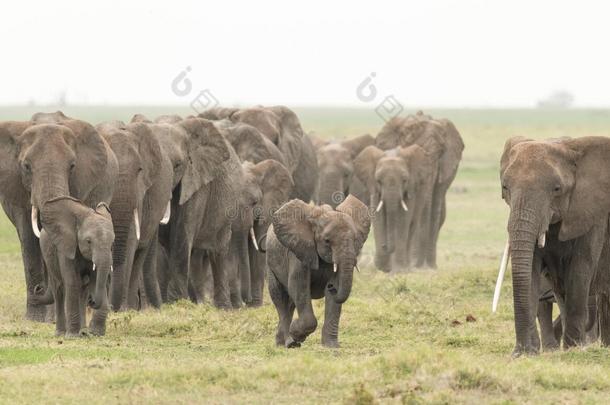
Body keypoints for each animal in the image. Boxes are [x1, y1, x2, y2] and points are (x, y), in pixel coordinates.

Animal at [95, 120, 172, 310]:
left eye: (139, 170)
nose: (111, 307)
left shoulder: (140, 195)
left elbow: (130, 242)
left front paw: (121, 310)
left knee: (139, 256)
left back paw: (131, 307)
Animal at [266, 196, 370, 348]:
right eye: (327, 241)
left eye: (356, 239)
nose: (331, 287)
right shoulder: (299, 250)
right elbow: (299, 286)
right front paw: (296, 334)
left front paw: (331, 346)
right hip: (270, 264)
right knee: (280, 298)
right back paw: (287, 344)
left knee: (290, 302)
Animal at [496, 135, 610, 354]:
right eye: (505, 188)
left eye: (557, 189)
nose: (519, 350)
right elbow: (530, 269)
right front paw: (525, 353)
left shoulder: (593, 216)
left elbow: (580, 268)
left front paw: (573, 349)